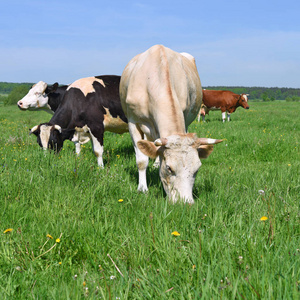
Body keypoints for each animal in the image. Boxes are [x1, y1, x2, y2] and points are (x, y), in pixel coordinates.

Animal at [120, 44, 223, 204]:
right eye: (169, 168)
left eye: (197, 169)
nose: (186, 203)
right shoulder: (133, 122)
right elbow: (142, 160)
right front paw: (142, 189)